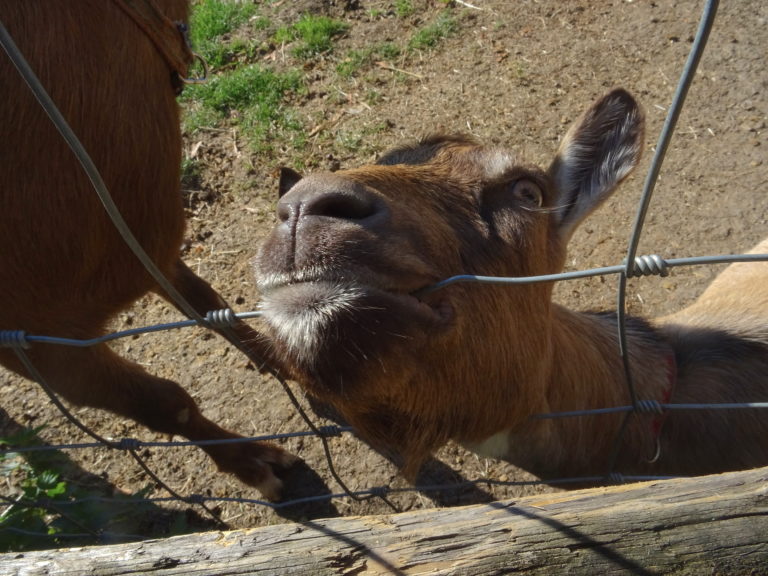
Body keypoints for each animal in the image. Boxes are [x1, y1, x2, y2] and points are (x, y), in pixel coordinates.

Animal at [0, 0, 294, 498]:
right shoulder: (33, 341)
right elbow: (163, 403)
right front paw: (258, 465)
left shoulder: (147, 252)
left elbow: (206, 302)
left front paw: (277, 357)